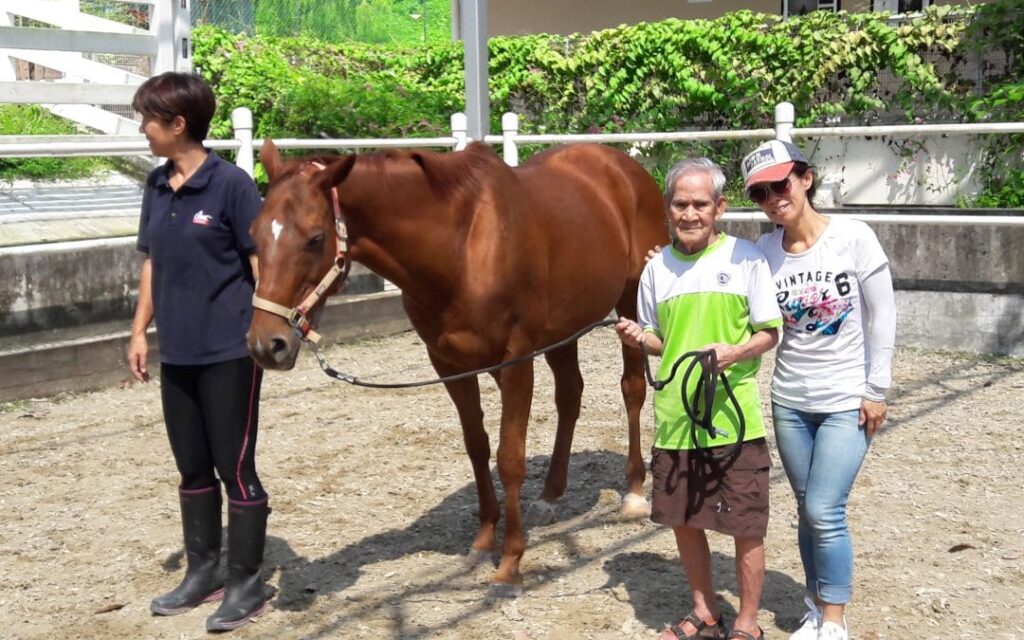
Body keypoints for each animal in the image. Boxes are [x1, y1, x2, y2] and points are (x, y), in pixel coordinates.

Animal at [245, 139, 663, 593]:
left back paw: (634, 492)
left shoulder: (516, 361)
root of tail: (623, 166)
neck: (461, 247)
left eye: (315, 238)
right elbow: (476, 447)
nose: (267, 344)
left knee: (632, 388)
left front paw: (511, 560)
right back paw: (550, 496)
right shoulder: (448, 364)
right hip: (563, 330)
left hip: (629, 303)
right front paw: (482, 542)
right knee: (570, 396)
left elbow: (509, 456)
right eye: (254, 236)